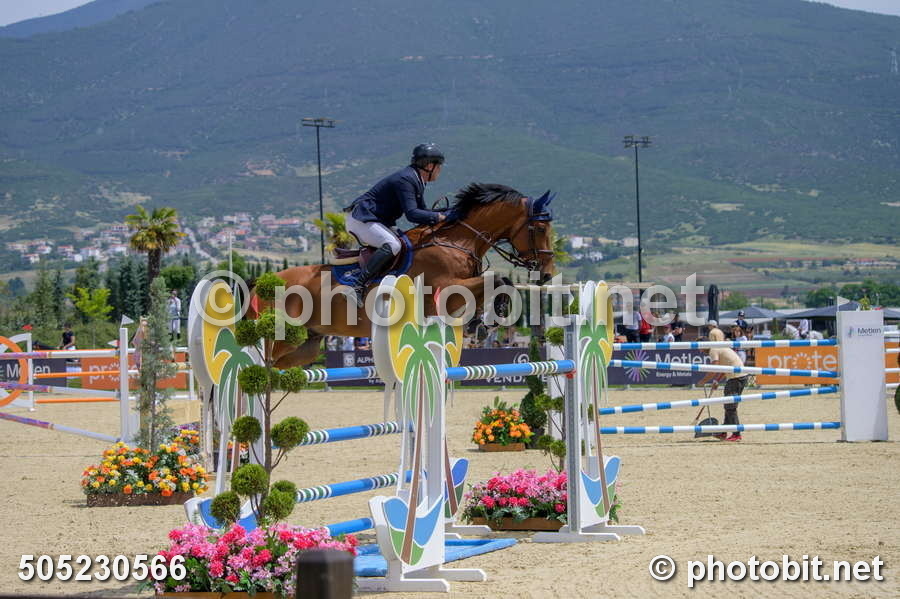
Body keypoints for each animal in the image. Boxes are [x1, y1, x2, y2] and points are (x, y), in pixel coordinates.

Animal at [251, 183, 558, 367]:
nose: (547, 274)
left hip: (304, 345)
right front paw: (494, 316)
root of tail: (260, 284)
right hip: (281, 338)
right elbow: (498, 279)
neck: (458, 242)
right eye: (541, 229)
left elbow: (495, 285)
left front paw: (481, 322)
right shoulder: (446, 289)